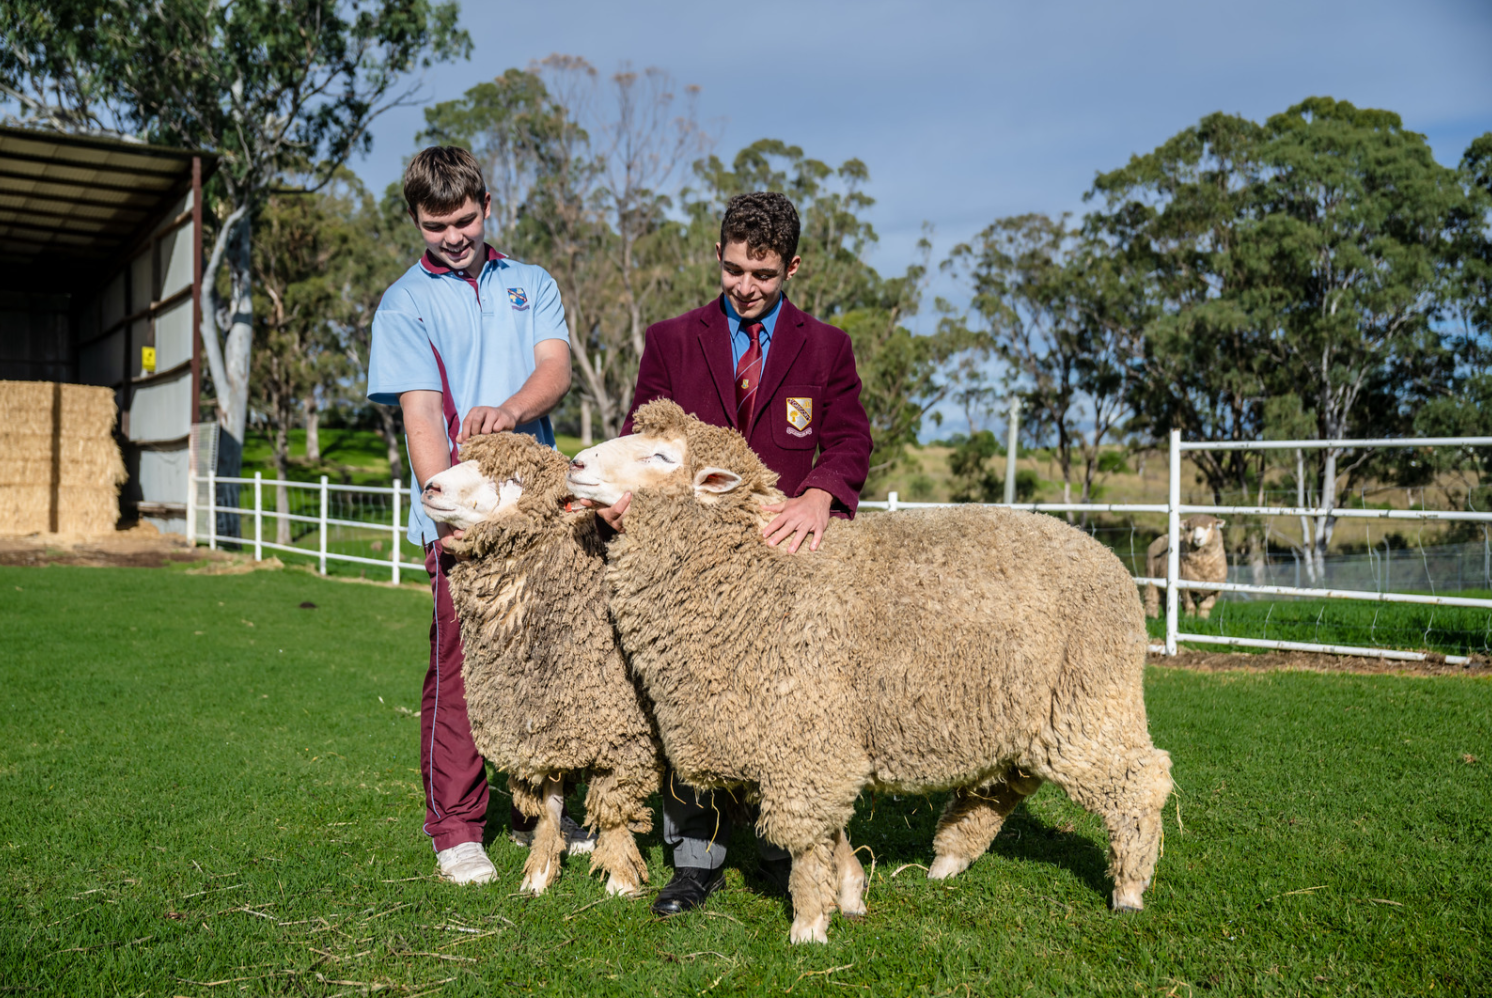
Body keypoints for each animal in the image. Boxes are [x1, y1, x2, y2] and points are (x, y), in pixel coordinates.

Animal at [414, 432, 659, 895]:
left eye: (514, 479)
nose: (431, 487)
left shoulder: (623, 730)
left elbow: (616, 805)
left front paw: (620, 879)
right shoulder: (542, 731)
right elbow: (548, 805)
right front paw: (541, 872)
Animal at [563, 399, 1169, 942]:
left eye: (662, 456)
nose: (576, 464)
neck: (756, 576)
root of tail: (1105, 557)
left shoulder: (806, 739)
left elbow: (808, 839)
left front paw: (810, 924)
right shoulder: (818, 741)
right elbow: (832, 833)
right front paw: (851, 891)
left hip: (1091, 700)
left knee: (1140, 781)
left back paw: (1129, 890)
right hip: (1025, 711)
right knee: (1009, 782)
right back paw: (948, 861)